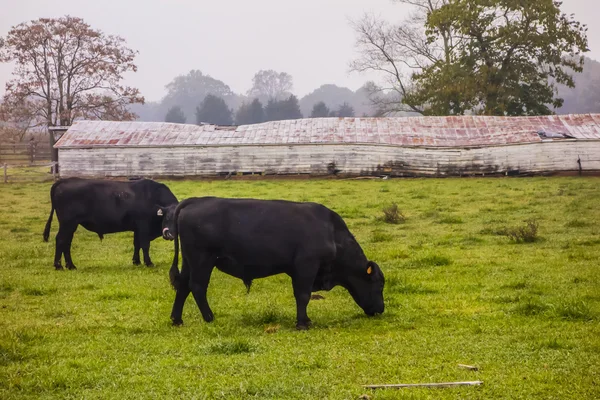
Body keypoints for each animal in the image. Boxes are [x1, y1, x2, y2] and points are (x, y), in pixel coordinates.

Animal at [43, 179, 177, 270]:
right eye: (167, 217)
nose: (169, 234)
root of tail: (65, 180)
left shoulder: (137, 228)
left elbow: (136, 244)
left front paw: (136, 261)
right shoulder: (143, 225)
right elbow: (145, 245)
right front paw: (148, 263)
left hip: (71, 225)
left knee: (67, 243)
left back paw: (70, 266)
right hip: (68, 224)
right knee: (61, 240)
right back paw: (59, 266)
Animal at [159, 198, 384, 332]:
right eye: (379, 284)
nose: (381, 309)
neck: (331, 232)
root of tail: (197, 200)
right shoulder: (306, 267)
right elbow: (303, 296)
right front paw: (302, 323)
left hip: (190, 262)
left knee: (183, 286)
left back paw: (177, 319)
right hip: (202, 261)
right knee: (197, 287)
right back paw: (209, 317)